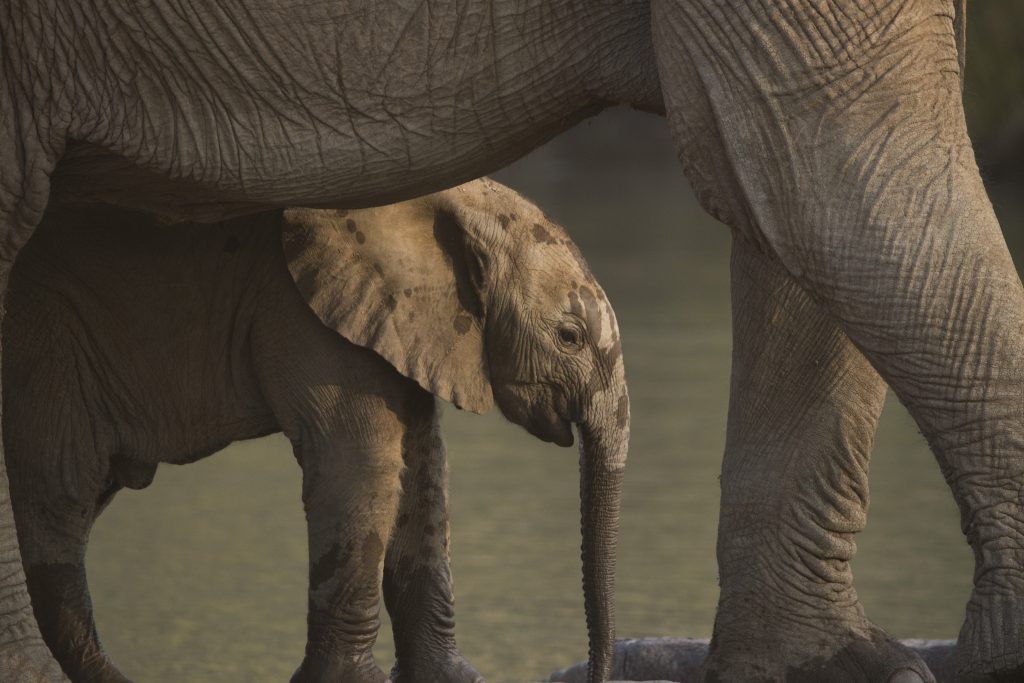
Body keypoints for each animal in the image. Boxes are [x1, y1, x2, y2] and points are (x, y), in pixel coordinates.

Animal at [2, 177, 629, 683]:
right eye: (570, 337)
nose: (599, 672)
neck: (449, 200)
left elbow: (423, 461)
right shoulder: (306, 310)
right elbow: (361, 459)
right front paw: (348, 680)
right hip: (47, 344)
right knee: (59, 496)